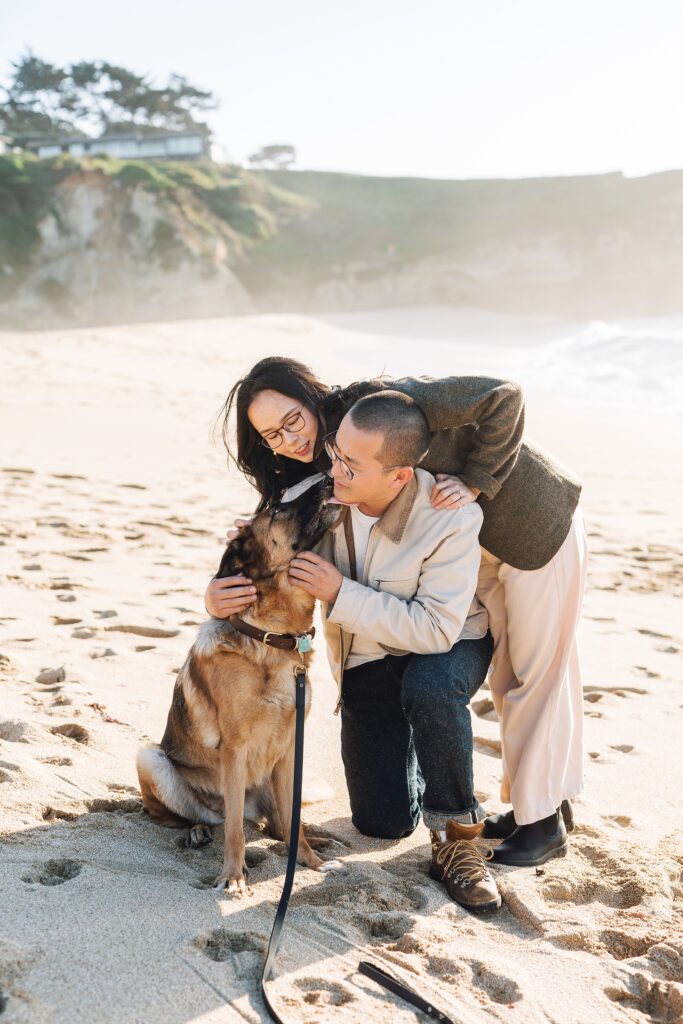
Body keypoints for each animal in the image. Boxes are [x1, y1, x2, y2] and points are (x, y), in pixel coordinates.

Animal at [137, 475, 344, 892]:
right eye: (277, 508)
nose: (329, 478)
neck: (272, 638)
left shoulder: (291, 749)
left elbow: (292, 826)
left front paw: (311, 863)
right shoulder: (234, 750)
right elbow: (234, 830)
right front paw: (232, 876)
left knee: (280, 824)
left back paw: (315, 840)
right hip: (150, 757)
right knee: (197, 817)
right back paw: (197, 830)